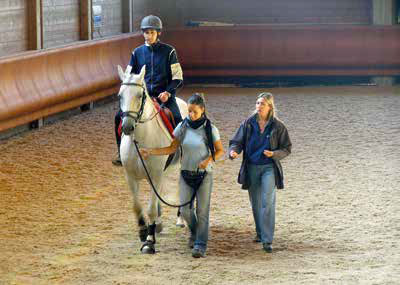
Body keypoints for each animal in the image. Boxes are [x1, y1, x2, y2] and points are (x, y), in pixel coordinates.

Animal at [117, 65, 188, 253]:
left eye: (139, 95)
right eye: (120, 96)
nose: (127, 127)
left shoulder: (155, 175)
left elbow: (150, 209)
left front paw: (149, 241)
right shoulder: (131, 176)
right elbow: (137, 207)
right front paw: (143, 230)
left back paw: (180, 219)